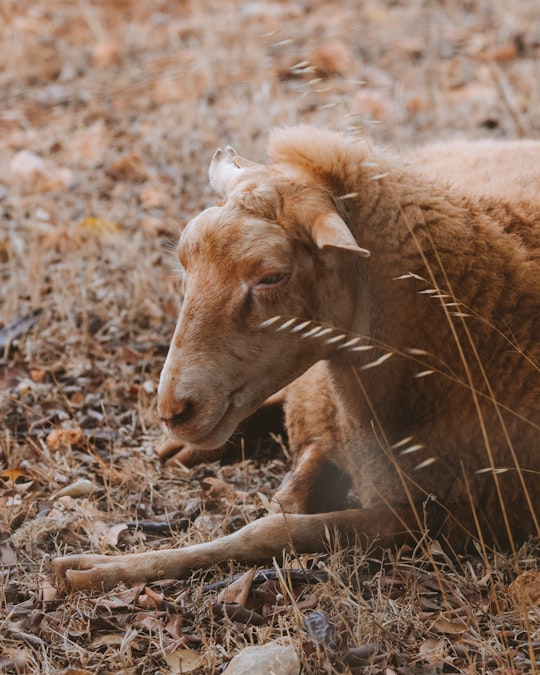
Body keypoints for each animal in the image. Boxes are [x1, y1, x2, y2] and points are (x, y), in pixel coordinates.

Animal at [51, 127, 540, 592]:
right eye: (184, 264)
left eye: (272, 277)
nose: (175, 411)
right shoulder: (325, 426)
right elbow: (284, 504)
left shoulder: (446, 516)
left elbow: (273, 529)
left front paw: (100, 568)